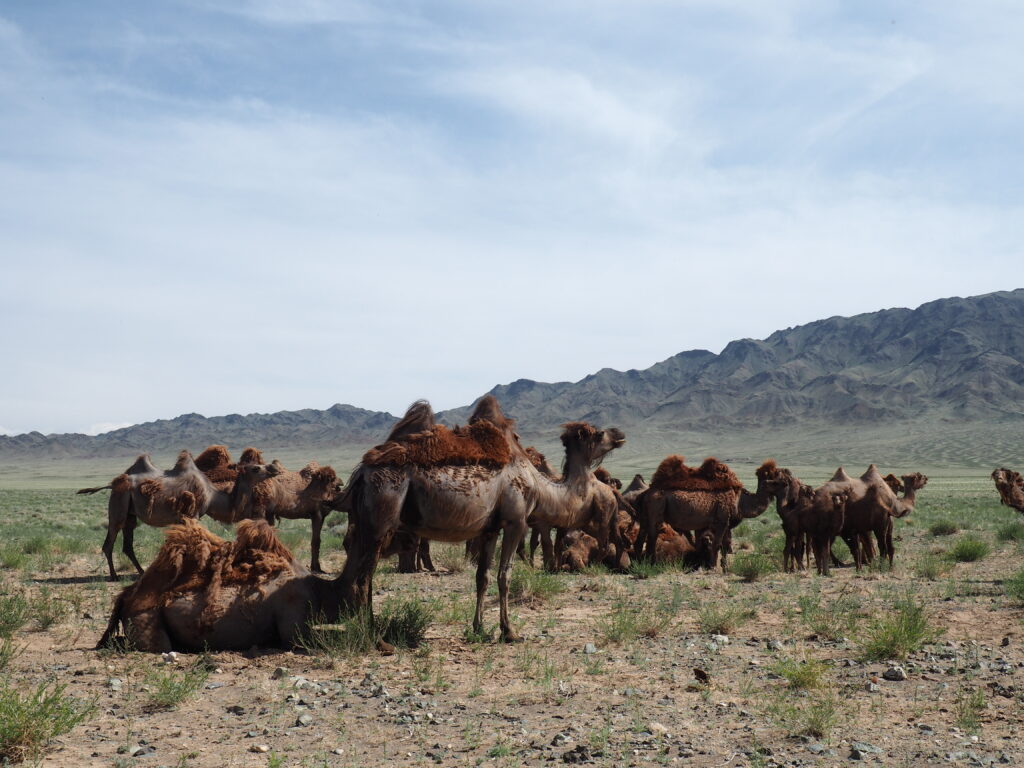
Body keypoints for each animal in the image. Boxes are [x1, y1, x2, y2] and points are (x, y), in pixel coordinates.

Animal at [337, 396, 626, 642]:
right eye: (600, 433)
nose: (620, 434)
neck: (539, 487)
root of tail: (361, 473)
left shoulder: (490, 529)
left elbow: (482, 576)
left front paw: (478, 628)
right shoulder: (516, 522)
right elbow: (504, 575)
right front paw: (509, 631)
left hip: (364, 522)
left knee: (359, 573)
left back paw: (366, 626)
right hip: (382, 511)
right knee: (364, 577)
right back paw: (372, 636)